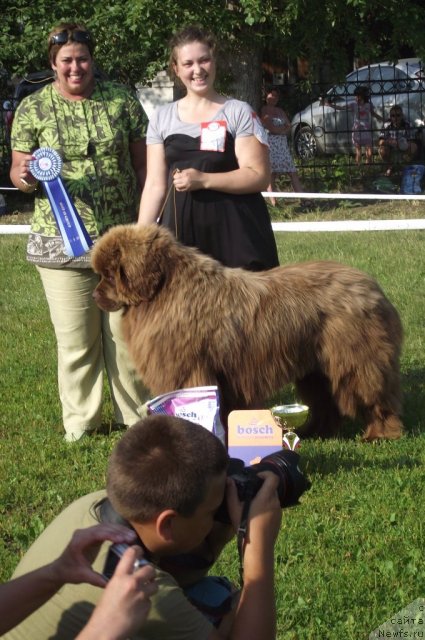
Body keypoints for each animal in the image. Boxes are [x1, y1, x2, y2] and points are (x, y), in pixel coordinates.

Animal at [91, 224, 402, 440]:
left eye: (109, 275)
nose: (95, 296)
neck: (166, 290)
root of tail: (372, 285)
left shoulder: (187, 370)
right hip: (317, 366)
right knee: (326, 400)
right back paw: (315, 431)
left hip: (356, 358)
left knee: (376, 396)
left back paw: (380, 434)